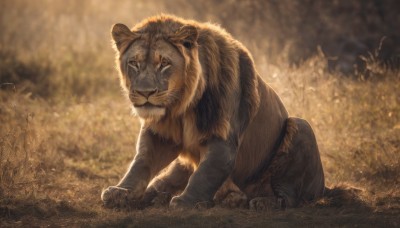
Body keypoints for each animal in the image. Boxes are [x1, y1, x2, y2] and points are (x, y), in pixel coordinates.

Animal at [101, 14, 324, 210]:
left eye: (164, 63)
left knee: (288, 197)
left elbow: (205, 174)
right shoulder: (159, 135)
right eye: (134, 63)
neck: (181, 107)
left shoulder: (222, 136)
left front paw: (185, 202)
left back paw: (258, 202)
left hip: (300, 127)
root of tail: (323, 185)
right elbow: (141, 162)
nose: (145, 92)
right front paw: (121, 191)